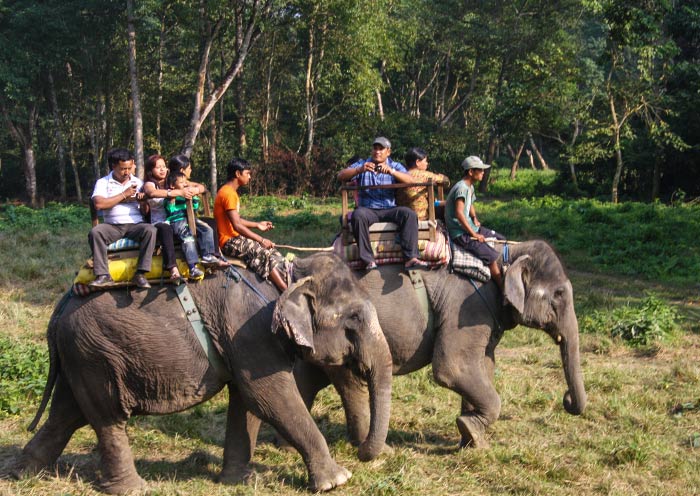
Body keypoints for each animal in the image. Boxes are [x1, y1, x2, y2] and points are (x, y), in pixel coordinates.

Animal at [12, 254, 394, 494]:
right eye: (354, 319)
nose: (361, 452)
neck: (289, 272)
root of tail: (60, 307)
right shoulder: (250, 329)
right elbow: (269, 397)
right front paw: (337, 481)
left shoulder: (242, 339)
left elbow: (247, 402)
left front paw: (239, 482)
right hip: (98, 354)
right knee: (106, 417)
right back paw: (132, 489)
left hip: (81, 355)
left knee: (67, 413)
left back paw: (23, 473)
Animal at [288, 240, 584, 454]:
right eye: (559, 294)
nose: (566, 400)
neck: (505, 254)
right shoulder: (467, 308)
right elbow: (452, 367)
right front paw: (469, 430)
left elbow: (483, 366)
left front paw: (472, 442)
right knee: (351, 383)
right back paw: (377, 451)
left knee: (307, 379)